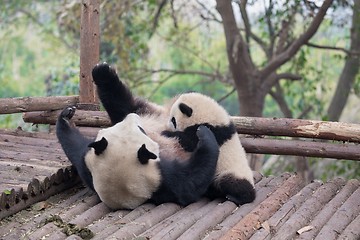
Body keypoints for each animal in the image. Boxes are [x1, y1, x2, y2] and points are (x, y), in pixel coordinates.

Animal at [56, 106, 219, 209]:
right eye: (141, 130)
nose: (133, 115)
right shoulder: (162, 180)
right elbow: (191, 181)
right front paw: (204, 133)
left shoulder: (88, 166)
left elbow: (75, 147)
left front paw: (66, 116)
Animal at [91, 62, 258, 205]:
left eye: (173, 119)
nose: (167, 125)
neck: (215, 118)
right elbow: (125, 105)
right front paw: (102, 71)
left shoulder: (213, 131)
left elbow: (189, 140)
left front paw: (168, 133)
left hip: (231, 170)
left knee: (234, 183)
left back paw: (237, 196)